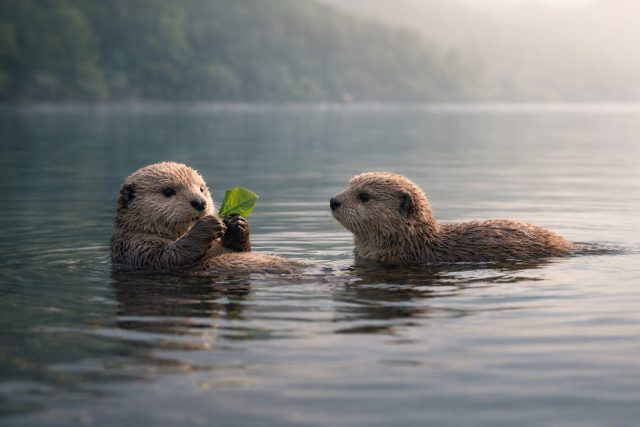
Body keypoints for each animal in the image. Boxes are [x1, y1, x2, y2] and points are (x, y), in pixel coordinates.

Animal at [111, 162, 300, 274]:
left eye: (201, 188)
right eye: (168, 191)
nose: (200, 202)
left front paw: (237, 224)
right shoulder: (134, 246)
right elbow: (166, 257)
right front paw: (208, 224)